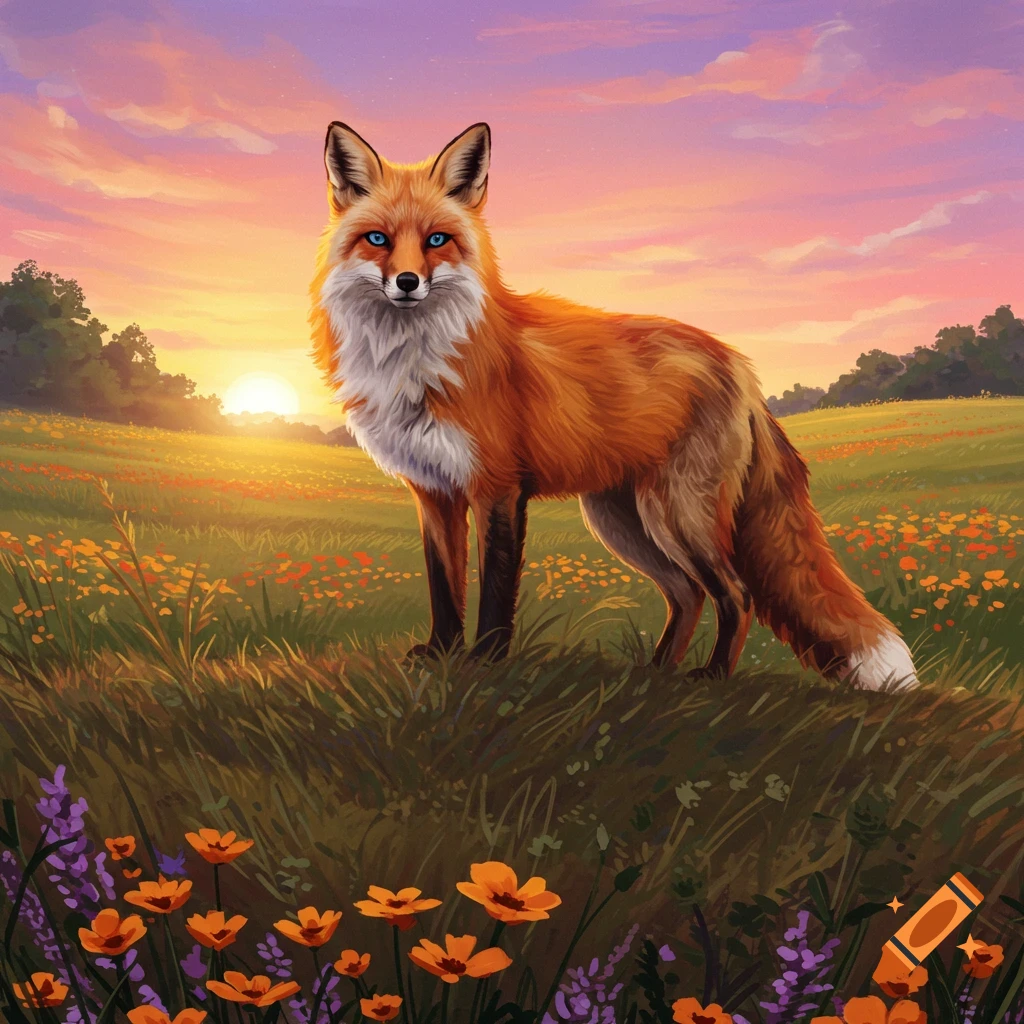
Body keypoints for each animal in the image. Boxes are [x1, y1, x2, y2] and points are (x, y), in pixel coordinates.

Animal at [309, 121, 919, 691]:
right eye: (377, 239)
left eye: (437, 240)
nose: (408, 282)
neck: (416, 358)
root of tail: (738, 363)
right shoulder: (433, 491)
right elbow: (443, 588)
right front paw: (441, 655)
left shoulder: (497, 486)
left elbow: (497, 591)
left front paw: (487, 663)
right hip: (623, 519)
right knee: (687, 594)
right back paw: (655, 673)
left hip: (678, 514)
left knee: (735, 594)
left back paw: (711, 677)